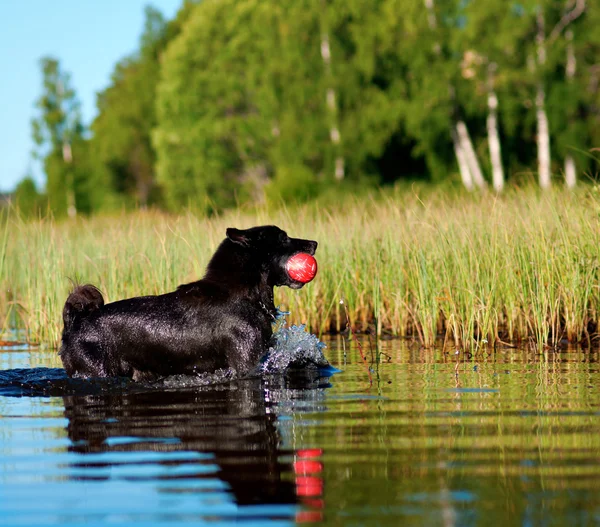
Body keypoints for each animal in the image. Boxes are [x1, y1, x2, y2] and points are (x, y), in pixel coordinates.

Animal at [59, 226, 318, 380]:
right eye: (283, 238)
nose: (314, 243)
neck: (242, 294)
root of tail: (76, 322)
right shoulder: (247, 361)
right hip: (97, 370)